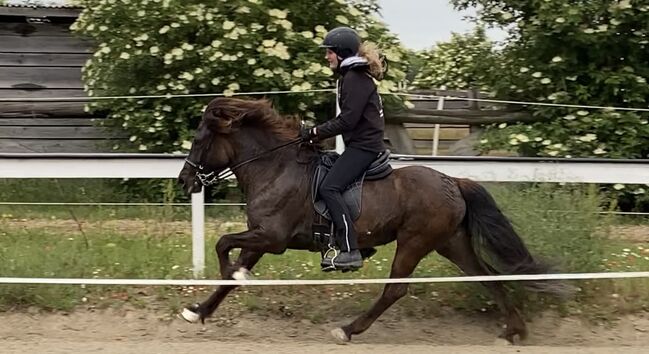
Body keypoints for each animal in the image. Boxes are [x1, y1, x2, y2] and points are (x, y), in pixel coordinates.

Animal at [177, 96, 568, 342]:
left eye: (199, 141)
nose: (185, 181)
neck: (274, 168)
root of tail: (452, 181)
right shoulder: (260, 237)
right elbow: (231, 271)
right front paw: (199, 311)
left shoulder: (272, 238)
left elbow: (223, 245)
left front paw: (228, 274)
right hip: (451, 243)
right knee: (487, 278)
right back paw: (515, 331)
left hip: (414, 242)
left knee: (395, 289)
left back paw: (348, 330)